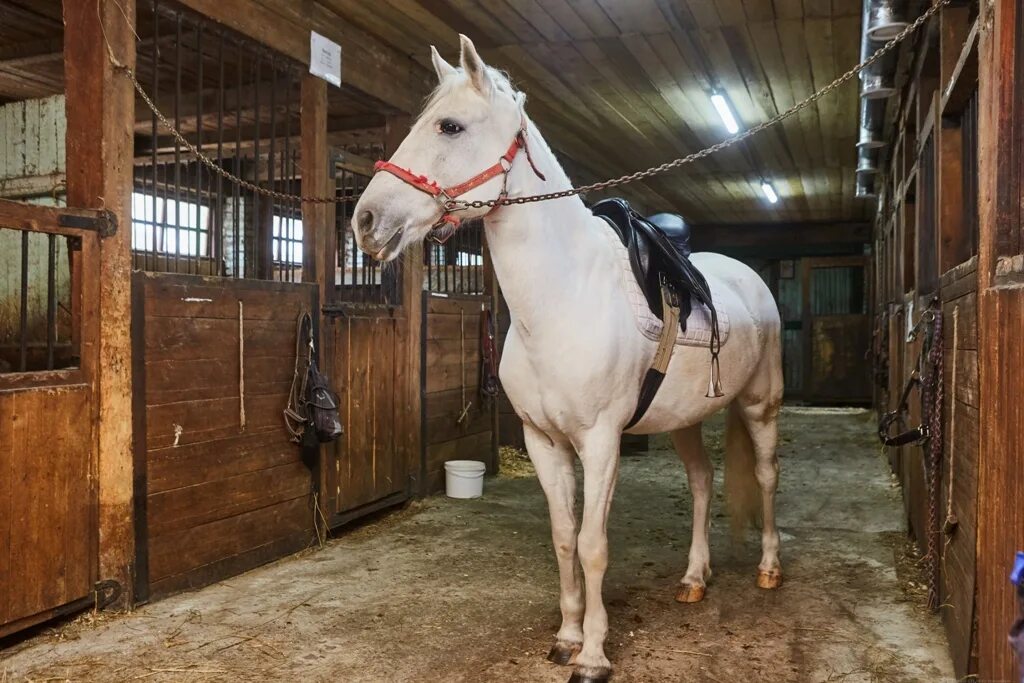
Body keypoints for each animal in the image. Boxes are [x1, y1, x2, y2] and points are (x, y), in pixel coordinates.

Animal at [352, 36, 782, 683]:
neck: (561, 299)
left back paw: (769, 570)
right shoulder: (543, 441)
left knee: (765, 475)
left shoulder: (600, 442)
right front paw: (567, 636)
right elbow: (562, 537)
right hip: (682, 420)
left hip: (761, 406)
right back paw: (693, 578)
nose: (366, 222)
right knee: (703, 482)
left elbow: (592, 545)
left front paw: (595, 655)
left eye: (450, 126)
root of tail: (747, 277)